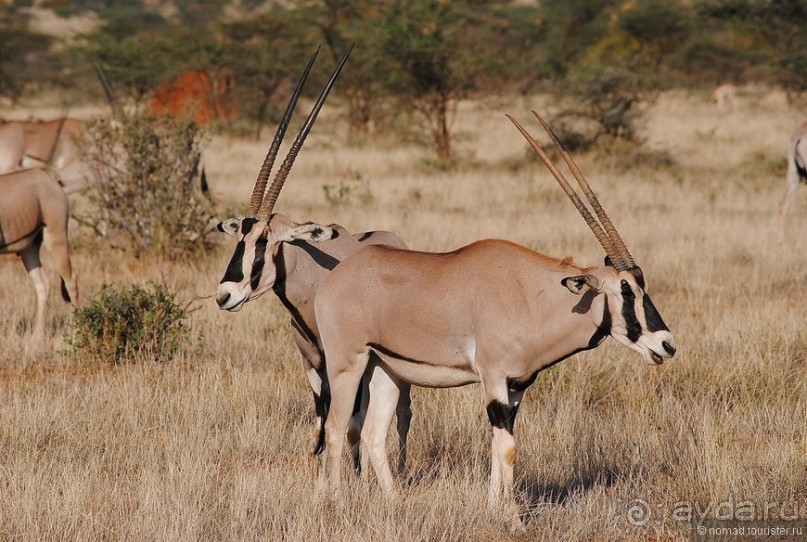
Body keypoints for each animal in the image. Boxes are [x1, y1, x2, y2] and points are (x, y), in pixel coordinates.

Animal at [0, 169, 79, 336]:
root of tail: (52, 181)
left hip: (56, 239)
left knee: (71, 281)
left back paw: (76, 329)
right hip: (28, 250)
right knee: (43, 285)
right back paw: (37, 335)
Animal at [215, 44, 414, 474]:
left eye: (264, 241)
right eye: (240, 237)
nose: (225, 295)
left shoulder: (349, 360)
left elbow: (352, 424)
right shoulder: (312, 364)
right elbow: (322, 424)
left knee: (403, 413)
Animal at [314, 109, 676, 524]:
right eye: (625, 289)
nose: (667, 344)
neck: (530, 295)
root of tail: (333, 280)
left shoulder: (516, 388)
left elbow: (501, 446)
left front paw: (499, 509)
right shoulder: (493, 379)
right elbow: (507, 449)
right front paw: (513, 518)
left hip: (385, 369)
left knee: (374, 434)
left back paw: (395, 503)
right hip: (348, 364)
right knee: (337, 428)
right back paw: (336, 506)